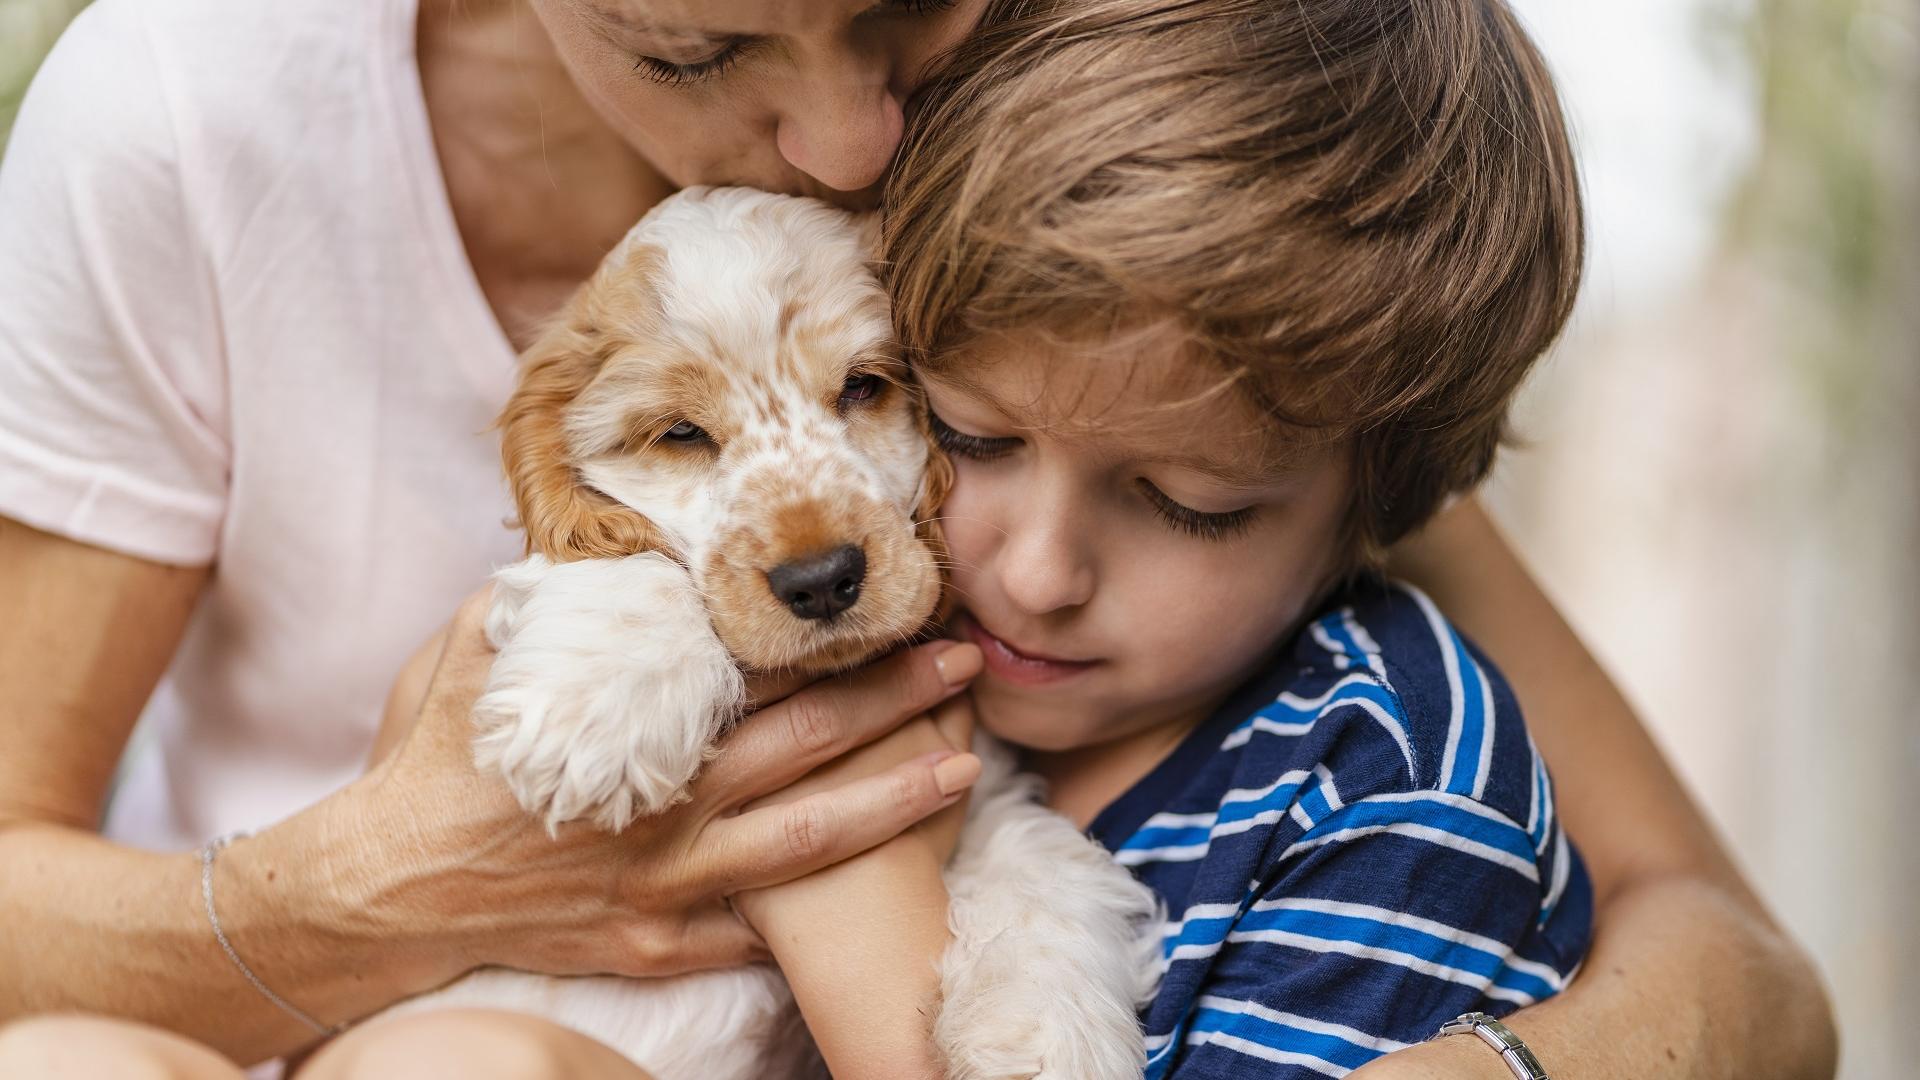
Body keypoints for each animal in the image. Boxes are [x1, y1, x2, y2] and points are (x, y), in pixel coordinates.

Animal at [372, 187, 1152, 1076]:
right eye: (680, 433)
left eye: (863, 387)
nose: (821, 580)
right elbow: (628, 554)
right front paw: (594, 718)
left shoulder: (968, 775)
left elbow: (1042, 857)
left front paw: (1053, 1035)